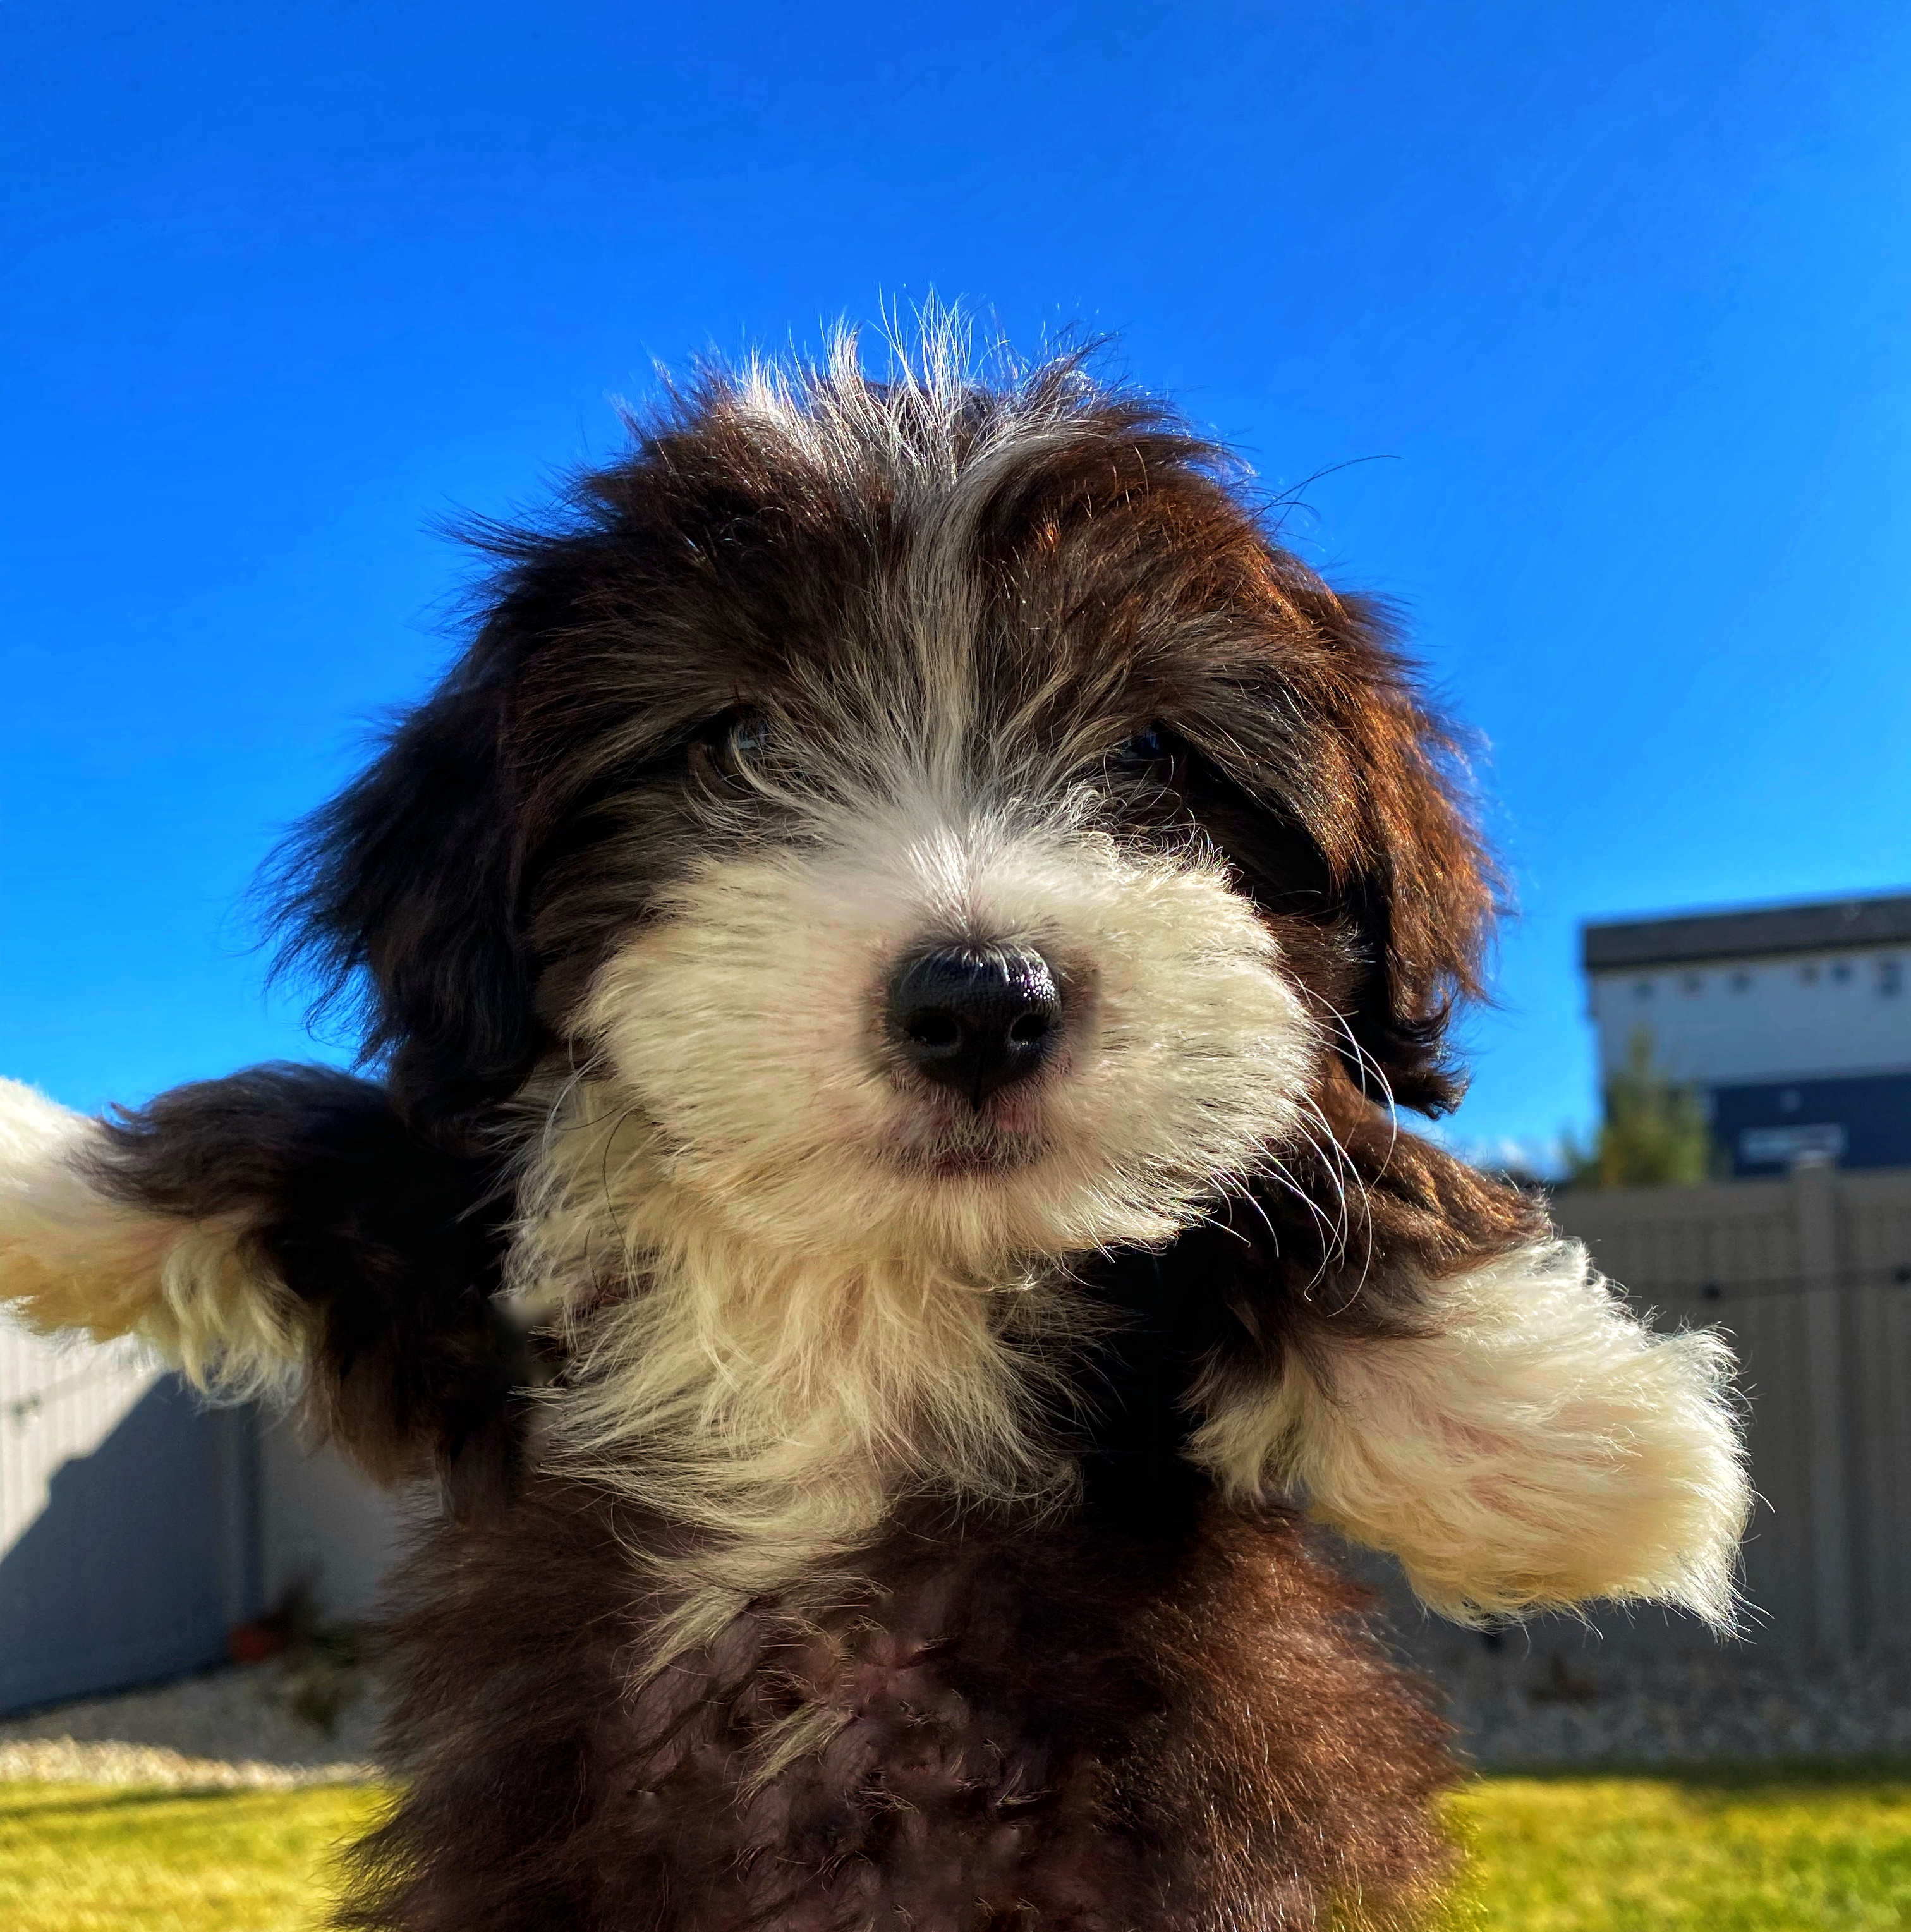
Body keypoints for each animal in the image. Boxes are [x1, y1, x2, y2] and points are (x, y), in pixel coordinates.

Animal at [0, 332, 1738, 1932]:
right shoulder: (471, 1308)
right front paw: (43, 1171)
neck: (865, 1260)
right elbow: (307, 1131)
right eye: (741, 744)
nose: (981, 997)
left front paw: (1570, 1429)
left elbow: (1308, 1161)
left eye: (1151, 756)